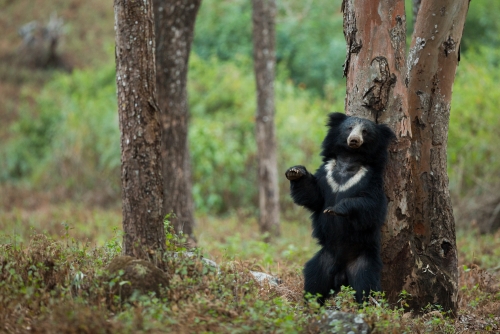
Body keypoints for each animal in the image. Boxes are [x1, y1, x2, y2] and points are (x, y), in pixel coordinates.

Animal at [286, 112, 394, 306]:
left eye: (365, 132)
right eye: (349, 128)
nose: (354, 140)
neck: (349, 160)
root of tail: (341, 274)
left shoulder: (371, 180)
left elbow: (371, 206)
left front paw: (335, 209)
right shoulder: (326, 174)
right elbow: (313, 195)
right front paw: (295, 171)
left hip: (363, 262)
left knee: (366, 287)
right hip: (323, 261)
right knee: (314, 282)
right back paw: (310, 305)